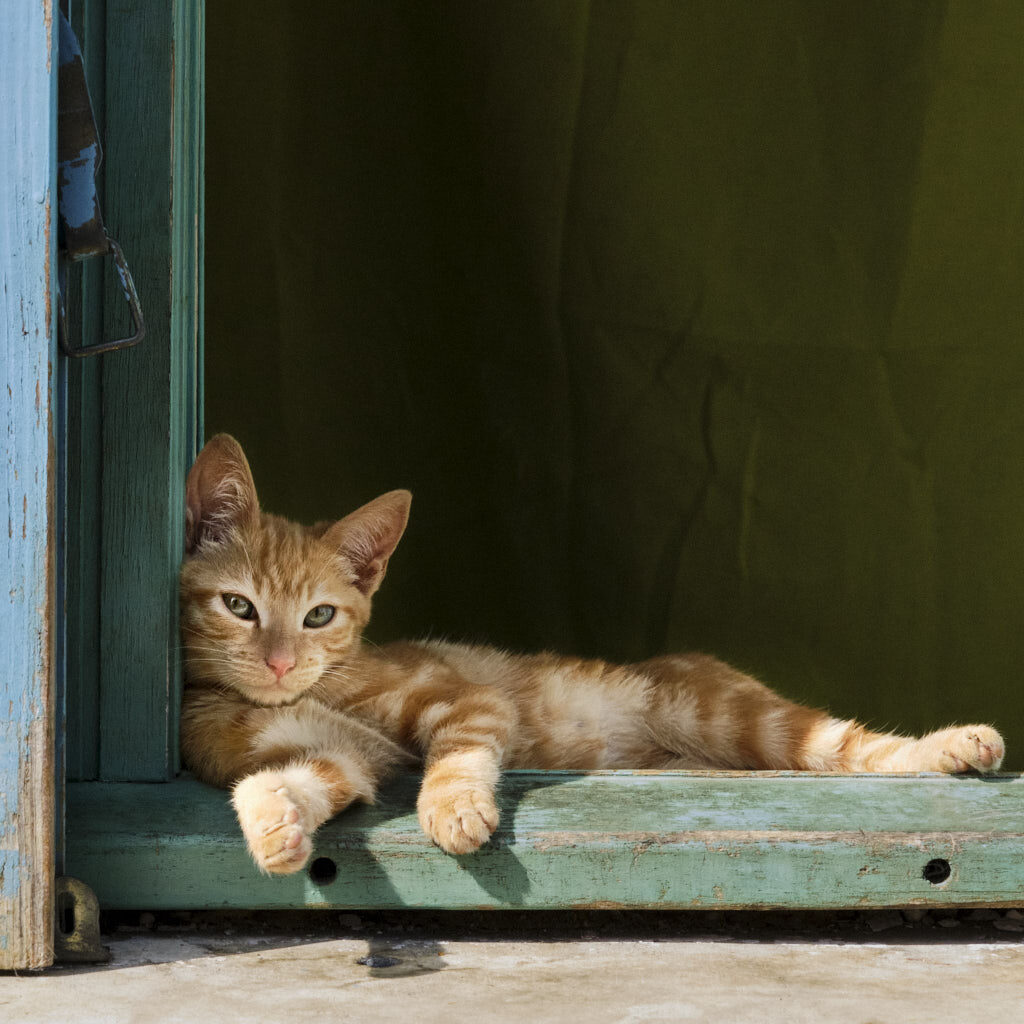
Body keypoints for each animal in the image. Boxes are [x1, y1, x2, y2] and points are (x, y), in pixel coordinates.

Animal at [180, 432, 1003, 872]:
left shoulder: (464, 697)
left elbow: (459, 752)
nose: (281, 662)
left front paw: (454, 809)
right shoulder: (342, 759)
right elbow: (282, 781)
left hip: (729, 714)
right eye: (239, 607)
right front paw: (277, 830)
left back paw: (956, 745)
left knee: (850, 748)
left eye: (319, 615)